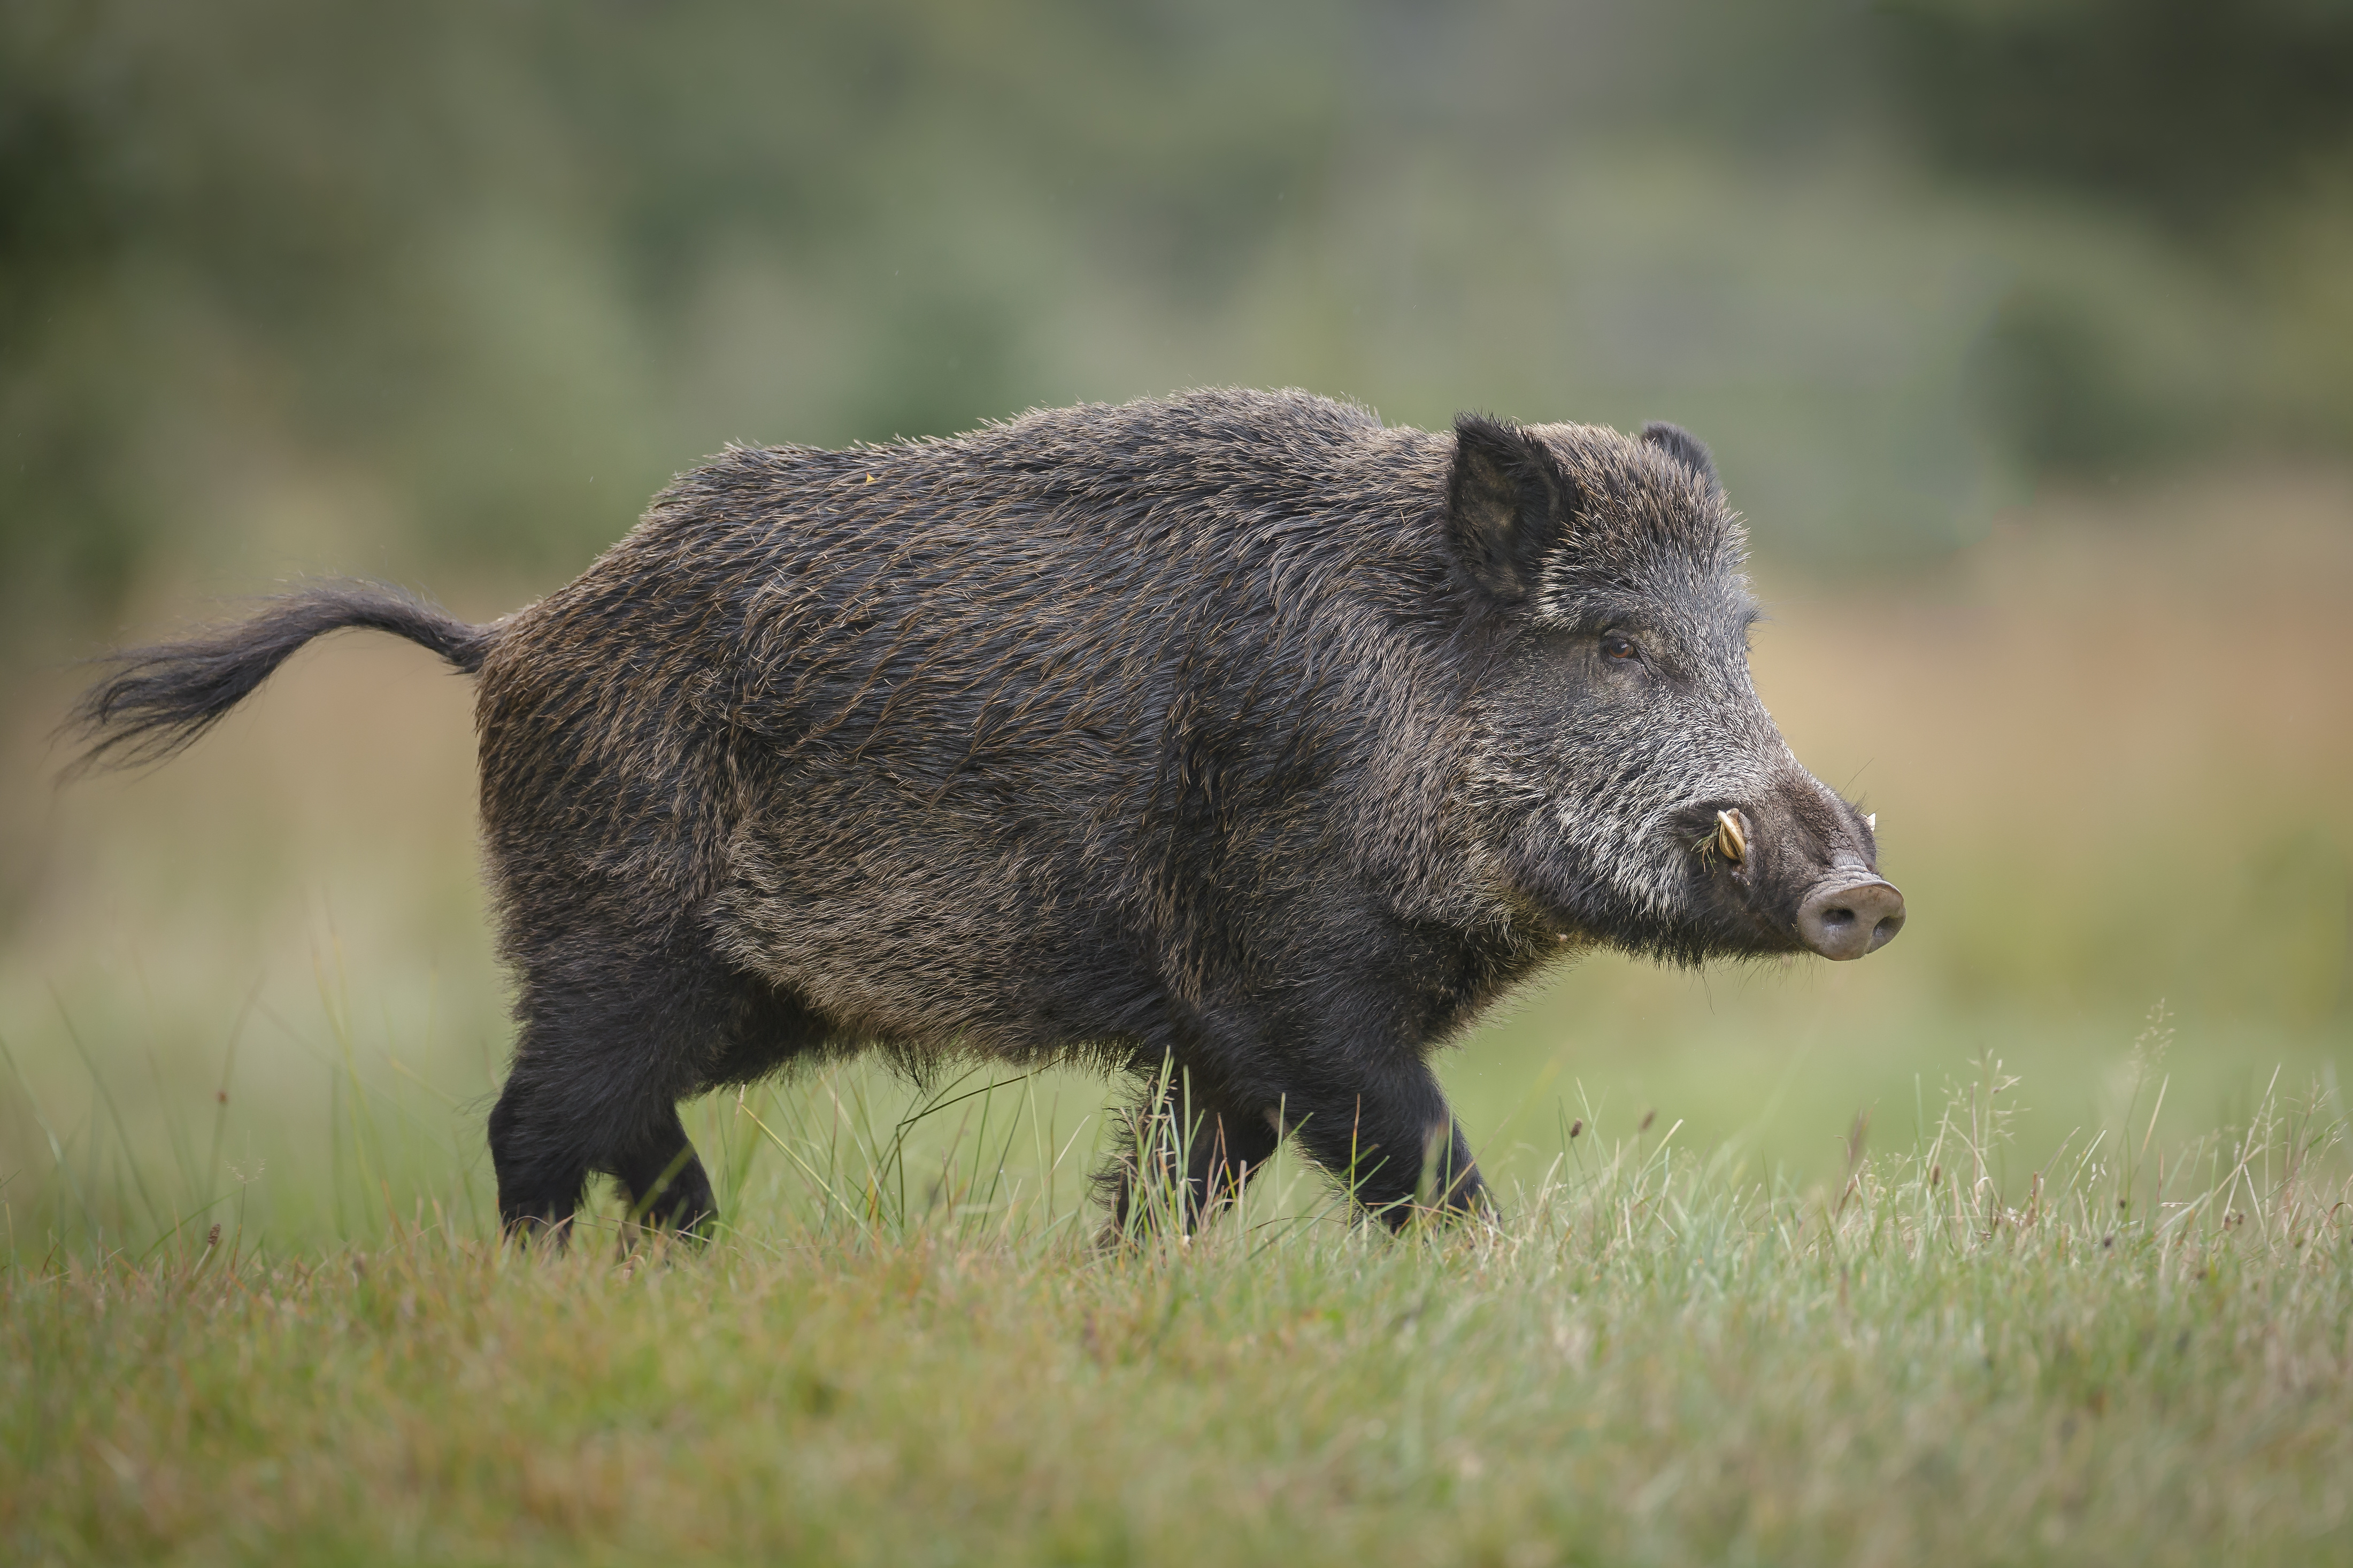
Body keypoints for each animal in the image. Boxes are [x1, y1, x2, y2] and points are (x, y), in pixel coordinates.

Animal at [71, 389, 1904, 1240]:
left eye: (1738, 636)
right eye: (1612, 641)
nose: (1862, 892)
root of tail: (512, 634)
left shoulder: (1213, 1035)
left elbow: (1177, 1185)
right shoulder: (1290, 978)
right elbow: (1420, 1161)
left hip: (736, 990)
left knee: (618, 1124)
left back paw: (705, 1263)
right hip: (612, 929)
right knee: (538, 1120)